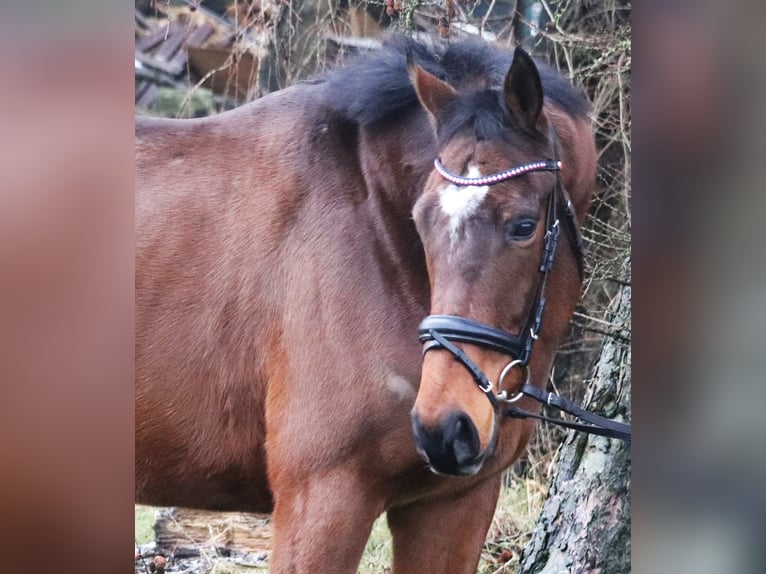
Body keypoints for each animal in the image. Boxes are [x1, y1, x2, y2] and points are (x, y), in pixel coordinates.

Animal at [136, 37, 600, 574]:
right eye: (420, 220)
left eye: (524, 225)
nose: (445, 428)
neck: (377, 236)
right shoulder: (321, 499)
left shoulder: (454, 504)